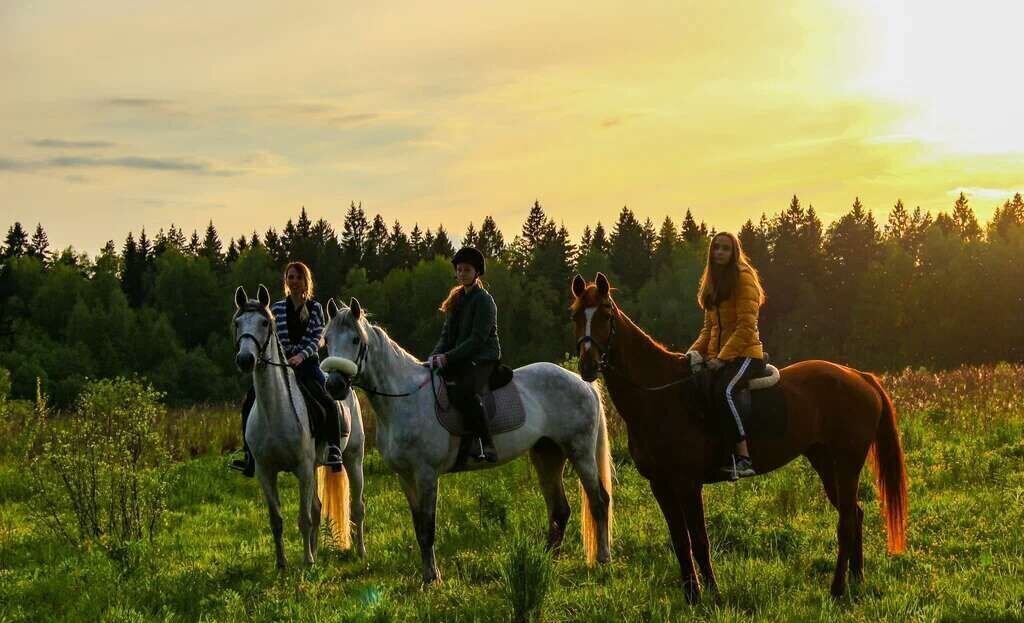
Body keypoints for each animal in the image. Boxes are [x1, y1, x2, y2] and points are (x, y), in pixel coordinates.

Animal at [232, 284, 368, 565]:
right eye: (238, 323)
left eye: (264, 322)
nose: (245, 359)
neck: (275, 413)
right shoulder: (265, 472)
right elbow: (277, 520)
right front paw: (282, 564)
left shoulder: (303, 469)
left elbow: (304, 519)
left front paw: (307, 563)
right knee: (317, 508)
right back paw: (315, 550)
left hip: (353, 458)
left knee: (357, 507)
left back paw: (360, 552)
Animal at [319, 297, 606, 582]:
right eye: (327, 340)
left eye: (355, 339)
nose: (334, 386)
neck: (404, 399)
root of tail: (581, 381)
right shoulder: (405, 476)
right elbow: (418, 526)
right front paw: (427, 575)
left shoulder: (426, 474)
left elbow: (428, 527)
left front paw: (433, 578)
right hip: (547, 453)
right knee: (560, 509)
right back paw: (548, 560)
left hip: (580, 452)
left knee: (599, 501)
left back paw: (602, 560)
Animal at [573, 270, 909, 602]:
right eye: (576, 315)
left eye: (605, 315)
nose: (588, 366)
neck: (661, 395)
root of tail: (858, 376)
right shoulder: (661, 484)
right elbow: (680, 541)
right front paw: (692, 596)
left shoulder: (687, 482)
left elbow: (699, 539)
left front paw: (713, 595)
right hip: (826, 462)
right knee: (855, 514)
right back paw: (856, 579)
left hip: (847, 463)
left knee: (846, 521)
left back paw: (838, 588)